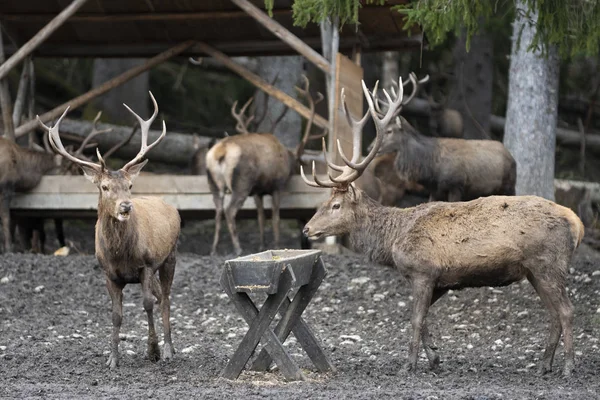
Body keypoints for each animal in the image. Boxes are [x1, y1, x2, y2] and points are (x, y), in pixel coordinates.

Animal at [38, 92, 180, 370]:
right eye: (104, 187)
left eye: (130, 185)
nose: (126, 206)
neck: (120, 254)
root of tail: (171, 207)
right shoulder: (109, 274)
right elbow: (115, 315)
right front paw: (113, 358)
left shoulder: (147, 264)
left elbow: (147, 304)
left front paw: (153, 351)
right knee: (161, 296)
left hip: (170, 256)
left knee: (166, 298)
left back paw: (170, 349)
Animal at [207, 75, 328, 255]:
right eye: (297, 165)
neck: (287, 158)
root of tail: (221, 152)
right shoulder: (277, 186)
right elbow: (275, 216)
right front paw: (276, 244)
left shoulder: (258, 191)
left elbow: (261, 217)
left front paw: (262, 244)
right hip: (242, 182)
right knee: (229, 211)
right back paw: (238, 247)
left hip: (214, 183)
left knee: (218, 210)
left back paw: (214, 249)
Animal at [302, 76, 584, 378]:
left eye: (335, 205)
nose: (307, 229)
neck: (393, 240)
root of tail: (576, 222)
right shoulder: (439, 280)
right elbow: (423, 318)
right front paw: (435, 357)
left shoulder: (423, 271)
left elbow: (415, 318)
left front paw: (410, 364)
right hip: (534, 271)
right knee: (553, 312)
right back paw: (544, 365)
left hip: (549, 263)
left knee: (567, 310)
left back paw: (568, 367)